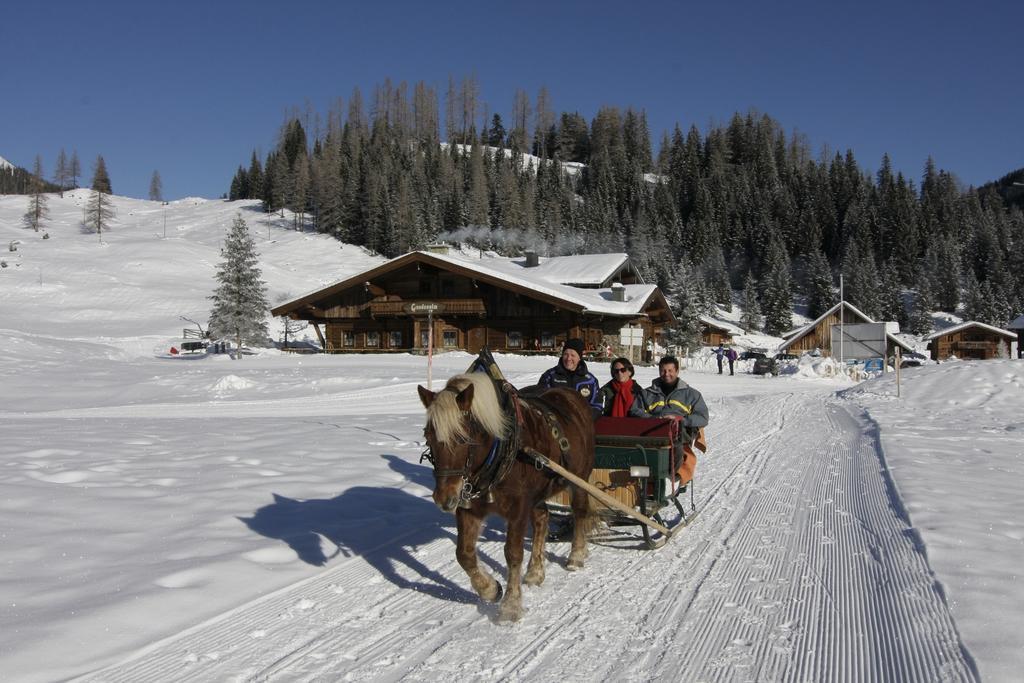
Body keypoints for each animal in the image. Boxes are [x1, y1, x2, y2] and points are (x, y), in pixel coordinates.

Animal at [413, 370, 593, 622]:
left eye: (462, 437)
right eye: (428, 435)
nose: (443, 498)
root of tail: (573, 396)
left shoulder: (518, 509)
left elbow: (513, 553)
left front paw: (511, 605)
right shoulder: (468, 509)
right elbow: (464, 554)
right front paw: (490, 589)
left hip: (578, 479)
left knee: (580, 511)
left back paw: (576, 554)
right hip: (538, 493)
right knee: (542, 519)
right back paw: (535, 571)